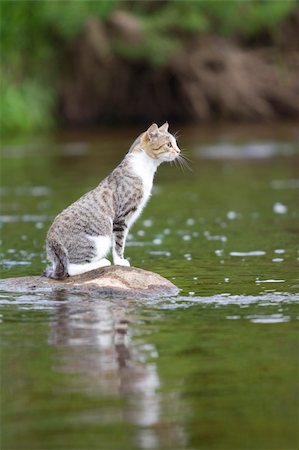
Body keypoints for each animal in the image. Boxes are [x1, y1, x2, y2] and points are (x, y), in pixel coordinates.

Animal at [43, 122, 182, 278]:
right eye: (169, 144)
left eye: (175, 143)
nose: (178, 151)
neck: (144, 167)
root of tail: (51, 241)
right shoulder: (121, 218)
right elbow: (118, 244)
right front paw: (120, 262)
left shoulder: (126, 221)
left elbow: (122, 242)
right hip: (99, 241)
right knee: (72, 268)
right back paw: (102, 262)